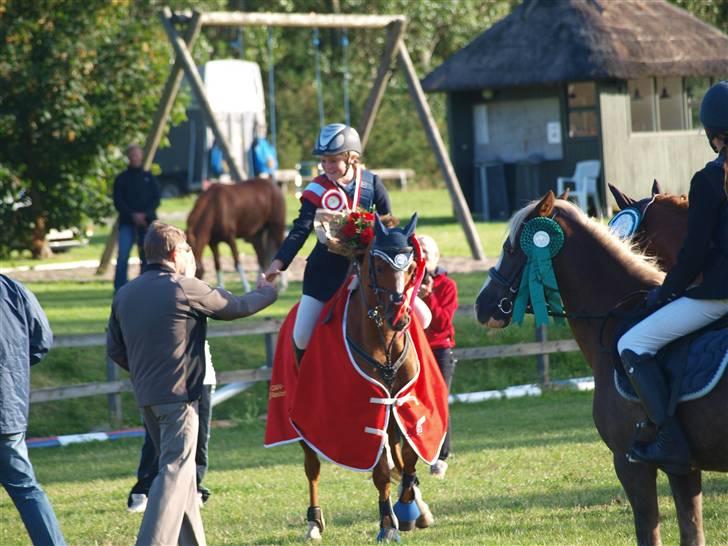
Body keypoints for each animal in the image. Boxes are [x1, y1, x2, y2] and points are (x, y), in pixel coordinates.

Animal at [474, 191, 728, 544]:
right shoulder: (685, 469)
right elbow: (692, 531)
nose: (481, 306)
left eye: (510, 249)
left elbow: (649, 530)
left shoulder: (631, 464)